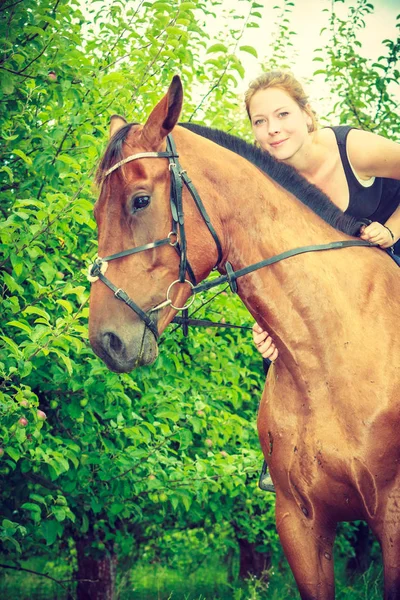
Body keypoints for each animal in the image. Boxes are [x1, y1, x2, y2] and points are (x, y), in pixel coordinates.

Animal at [89, 76, 400, 600]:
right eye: (95, 212)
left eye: (140, 200)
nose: (105, 341)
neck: (327, 359)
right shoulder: (299, 523)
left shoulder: (393, 519)